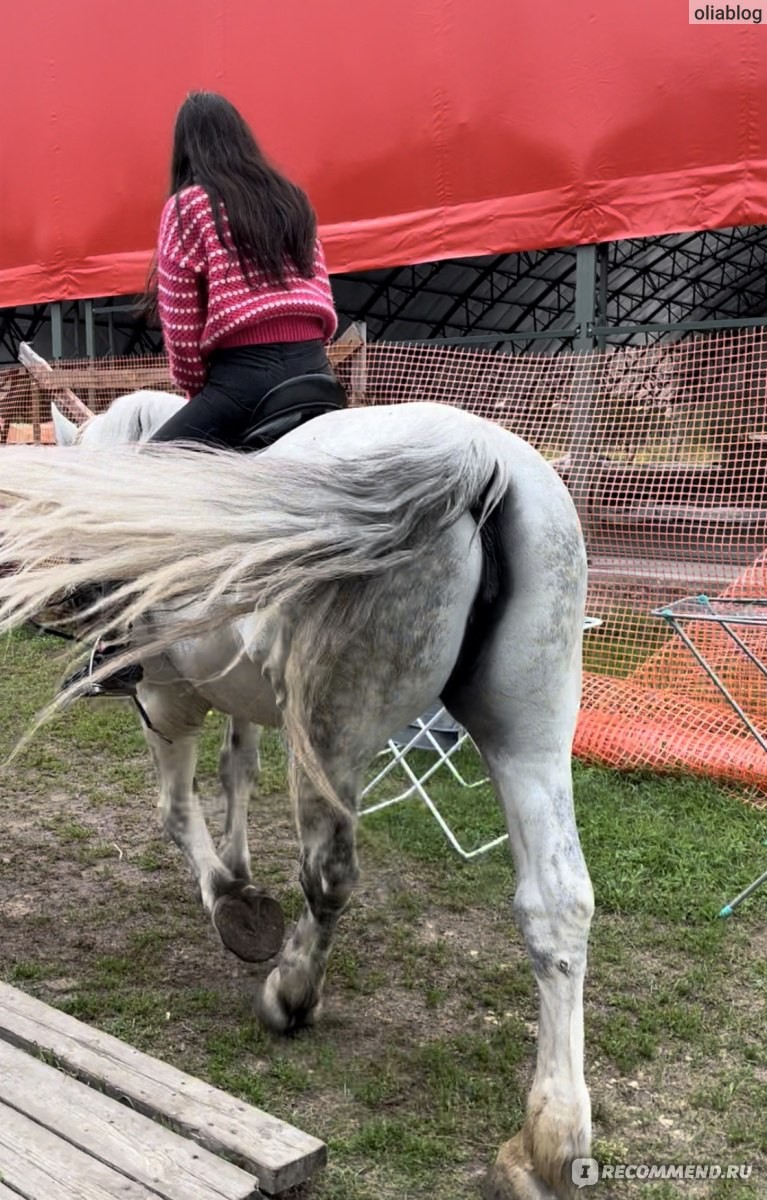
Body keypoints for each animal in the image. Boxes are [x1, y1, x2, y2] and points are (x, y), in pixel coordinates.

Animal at [1, 388, 595, 1195]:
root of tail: (476, 457)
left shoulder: (167, 696)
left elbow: (174, 810)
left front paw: (232, 900)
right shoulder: (239, 700)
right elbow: (236, 772)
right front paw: (239, 869)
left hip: (332, 734)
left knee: (330, 876)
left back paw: (290, 993)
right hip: (528, 731)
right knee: (557, 903)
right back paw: (552, 1138)